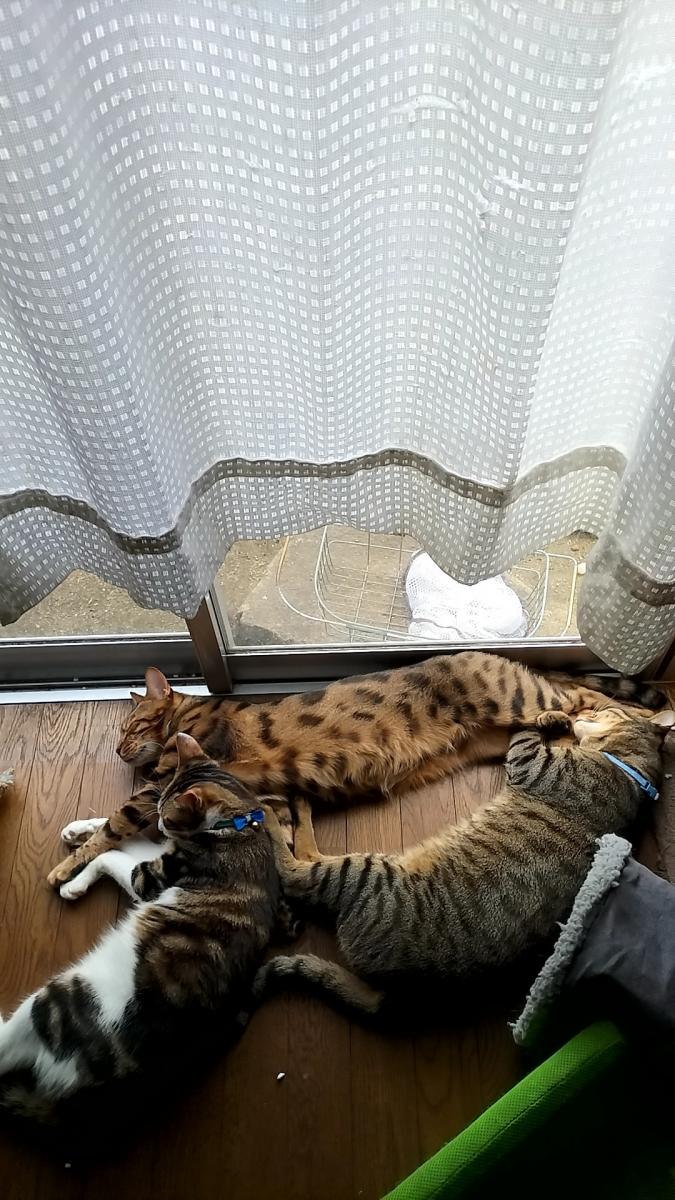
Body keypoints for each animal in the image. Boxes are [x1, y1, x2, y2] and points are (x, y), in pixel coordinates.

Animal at [0, 733, 288, 1124]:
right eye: (162, 810)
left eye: (170, 816)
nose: (163, 825)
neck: (237, 823)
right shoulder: (157, 853)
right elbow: (118, 834)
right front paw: (79, 830)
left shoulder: (150, 876)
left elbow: (110, 855)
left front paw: (73, 881)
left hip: (56, 998)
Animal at [47, 655, 665, 888]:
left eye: (130, 726)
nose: (119, 750)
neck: (187, 714)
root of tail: (506, 656)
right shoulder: (279, 795)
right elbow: (297, 831)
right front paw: (75, 831)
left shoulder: (176, 778)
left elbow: (118, 823)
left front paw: (65, 867)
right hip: (501, 727)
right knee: (574, 700)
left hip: (515, 697)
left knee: (587, 694)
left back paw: (648, 718)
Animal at [253, 706, 675, 1017]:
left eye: (605, 709)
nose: (585, 708)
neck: (628, 770)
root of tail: (397, 989)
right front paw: (557, 718)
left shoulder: (533, 764)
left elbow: (524, 736)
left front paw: (548, 719)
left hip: (364, 872)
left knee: (297, 868)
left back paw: (276, 811)